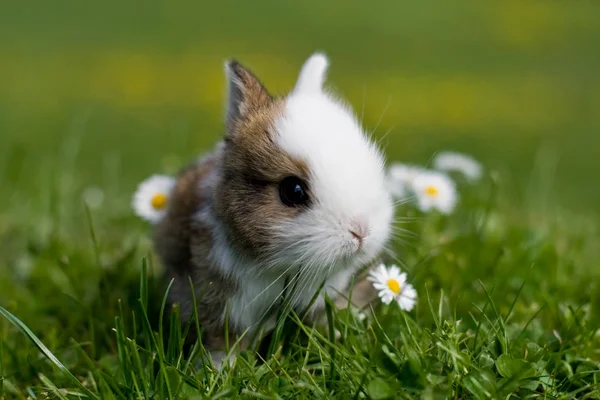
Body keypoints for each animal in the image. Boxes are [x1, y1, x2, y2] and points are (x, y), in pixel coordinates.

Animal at [154, 51, 394, 368]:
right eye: (293, 190)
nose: (361, 232)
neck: (280, 269)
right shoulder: (222, 303)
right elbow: (223, 342)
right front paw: (218, 371)